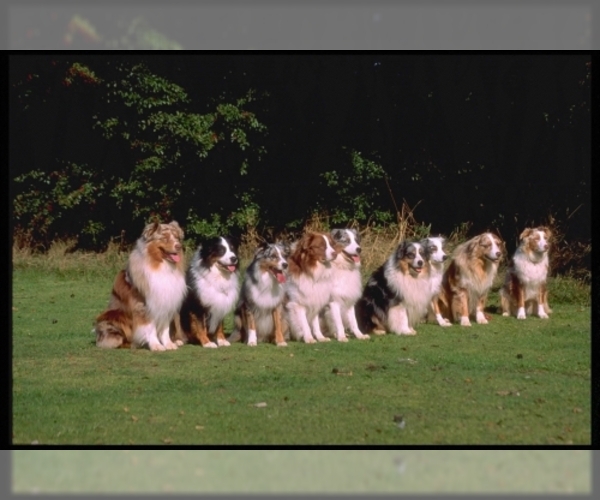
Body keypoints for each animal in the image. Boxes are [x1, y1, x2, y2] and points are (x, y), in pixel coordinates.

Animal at [94, 221, 186, 350]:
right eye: (164, 238)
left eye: (177, 238)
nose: (179, 246)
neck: (161, 266)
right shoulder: (144, 306)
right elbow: (150, 328)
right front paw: (156, 346)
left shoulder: (166, 303)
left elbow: (165, 328)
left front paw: (168, 344)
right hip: (113, 316)